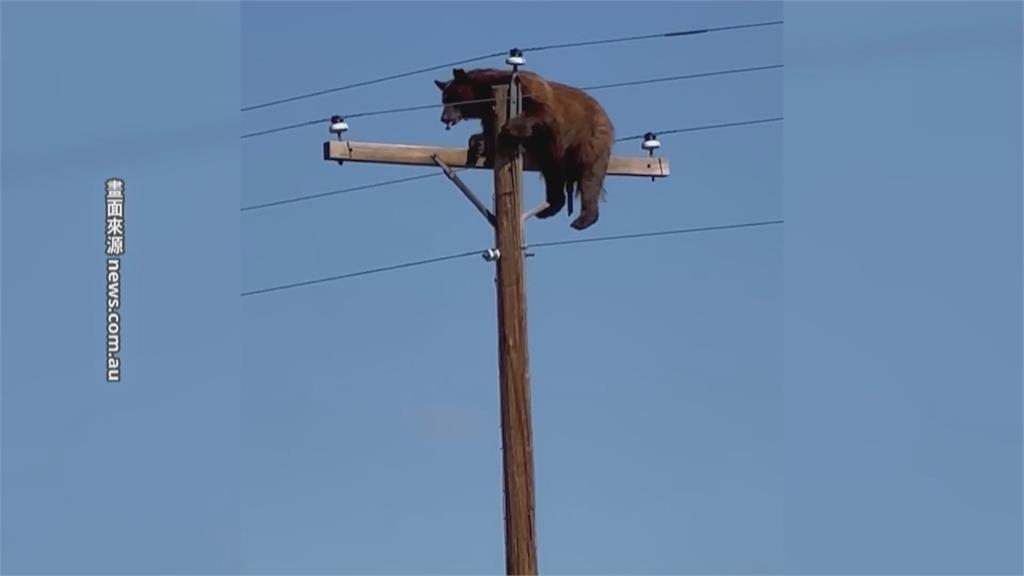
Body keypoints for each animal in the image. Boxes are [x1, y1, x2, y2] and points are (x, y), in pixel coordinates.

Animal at [434, 67, 614, 230]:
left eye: (451, 98)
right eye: (443, 100)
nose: (443, 118)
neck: (484, 94)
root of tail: (605, 116)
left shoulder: (524, 91)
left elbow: (540, 111)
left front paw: (509, 129)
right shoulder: (489, 113)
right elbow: (487, 134)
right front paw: (478, 145)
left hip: (588, 138)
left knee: (590, 177)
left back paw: (583, 219)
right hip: (552, 153)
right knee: (552, 175)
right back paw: (549, 208)